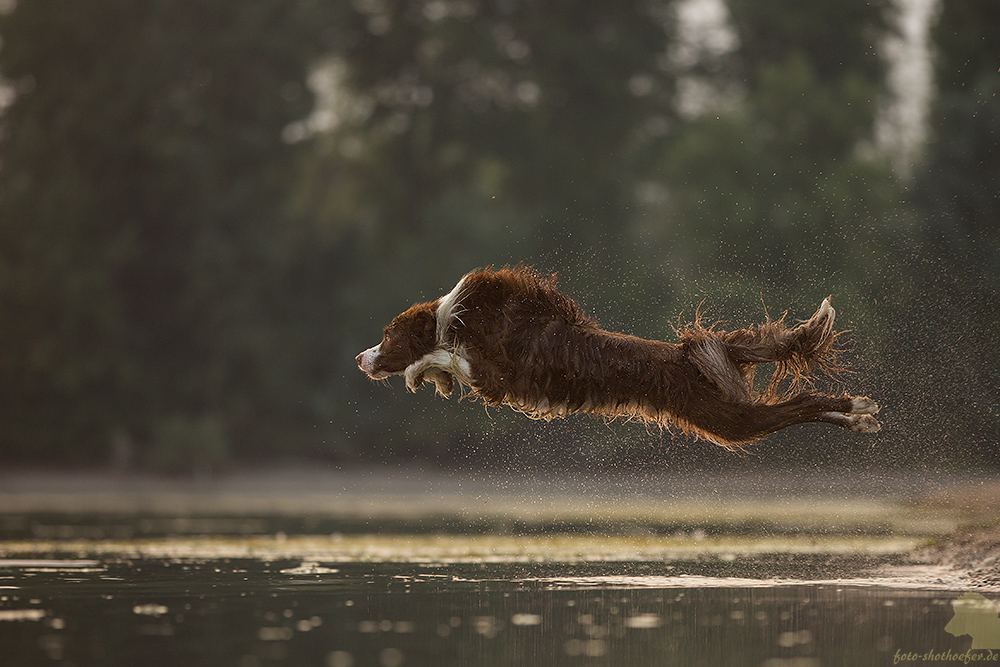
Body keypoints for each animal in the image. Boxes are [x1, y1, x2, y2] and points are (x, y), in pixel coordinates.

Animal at [356, 264, 880, 446]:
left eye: (387, 335)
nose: (360, 358)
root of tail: (690, 355)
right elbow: (442, 358)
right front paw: (432, 378)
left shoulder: (497, 374)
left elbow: (443, 355)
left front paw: (422, 371)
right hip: (721, 412)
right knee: (794, 408)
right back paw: (858, 415)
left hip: (723, 418)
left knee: (796, 405)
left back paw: (855, 408)